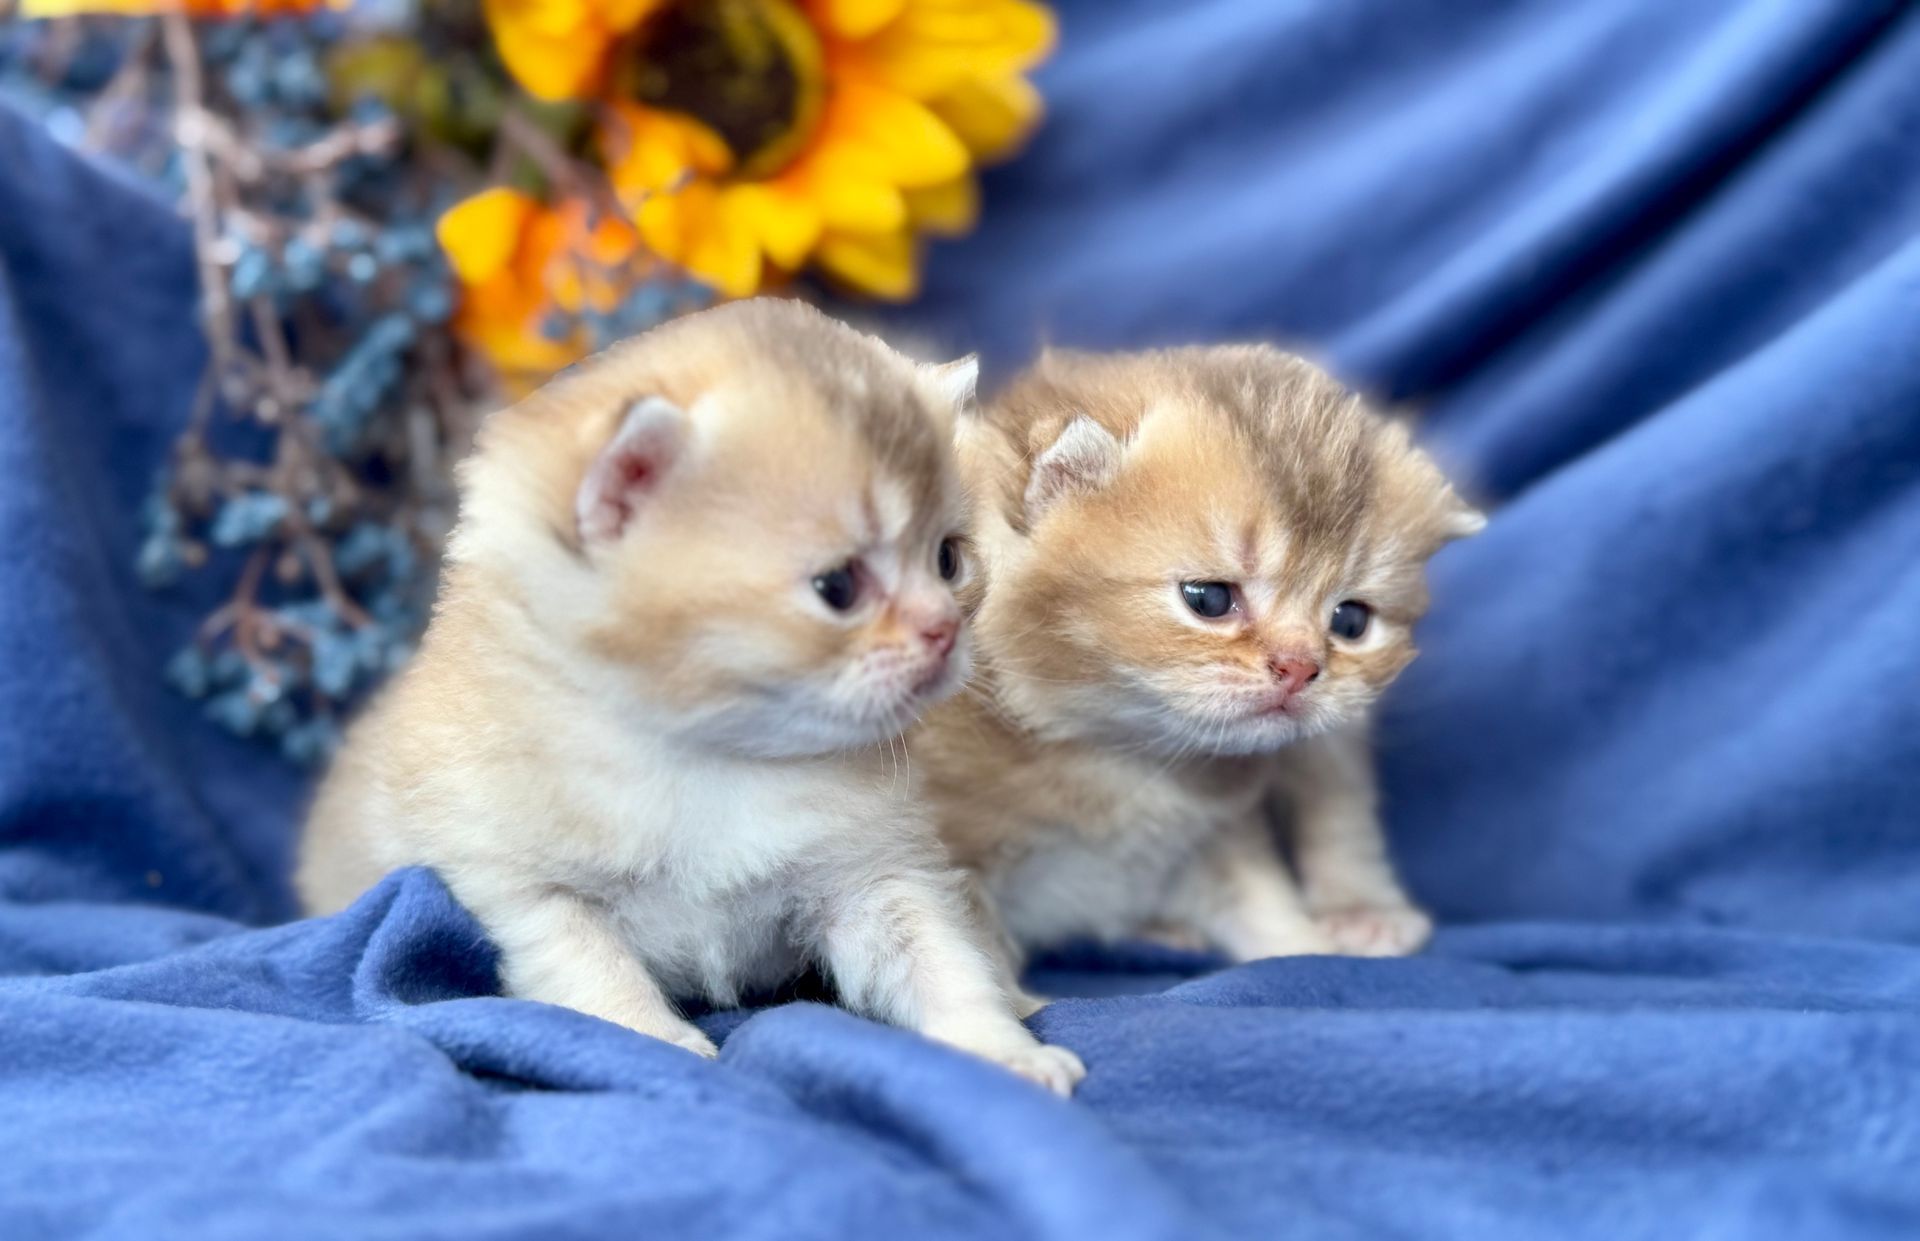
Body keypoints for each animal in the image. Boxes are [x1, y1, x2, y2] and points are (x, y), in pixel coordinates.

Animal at [298, 299, 1084, 1095]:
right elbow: (596, 976)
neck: (709, 753)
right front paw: (658, 1045)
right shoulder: (526, 891)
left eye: (949, 559)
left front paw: (997, 1046)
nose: (945, 630)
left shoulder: (870, 873)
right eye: (838, 586)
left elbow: (939, 959)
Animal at [913, 344, 1481, 970]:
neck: (1121, 758)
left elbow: (1279, 907)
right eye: (1208, 599)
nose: (1300, 668)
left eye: (1351, 621)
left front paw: (1322, 941)